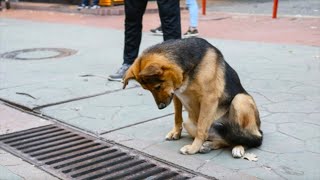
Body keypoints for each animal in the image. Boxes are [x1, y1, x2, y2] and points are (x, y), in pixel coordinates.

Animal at [122, 37, 262, 158]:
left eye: (157, 86)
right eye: (147, 90)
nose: (161, 107)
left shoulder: (209, 99)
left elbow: (201, 128)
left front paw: (193, 148)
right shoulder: (176, 95)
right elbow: (177, 117)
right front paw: (176, 132)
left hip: (240, 100)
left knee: (249, 139)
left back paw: (238, 146)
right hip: (189, 123)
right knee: (224, 140)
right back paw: (208, 145)